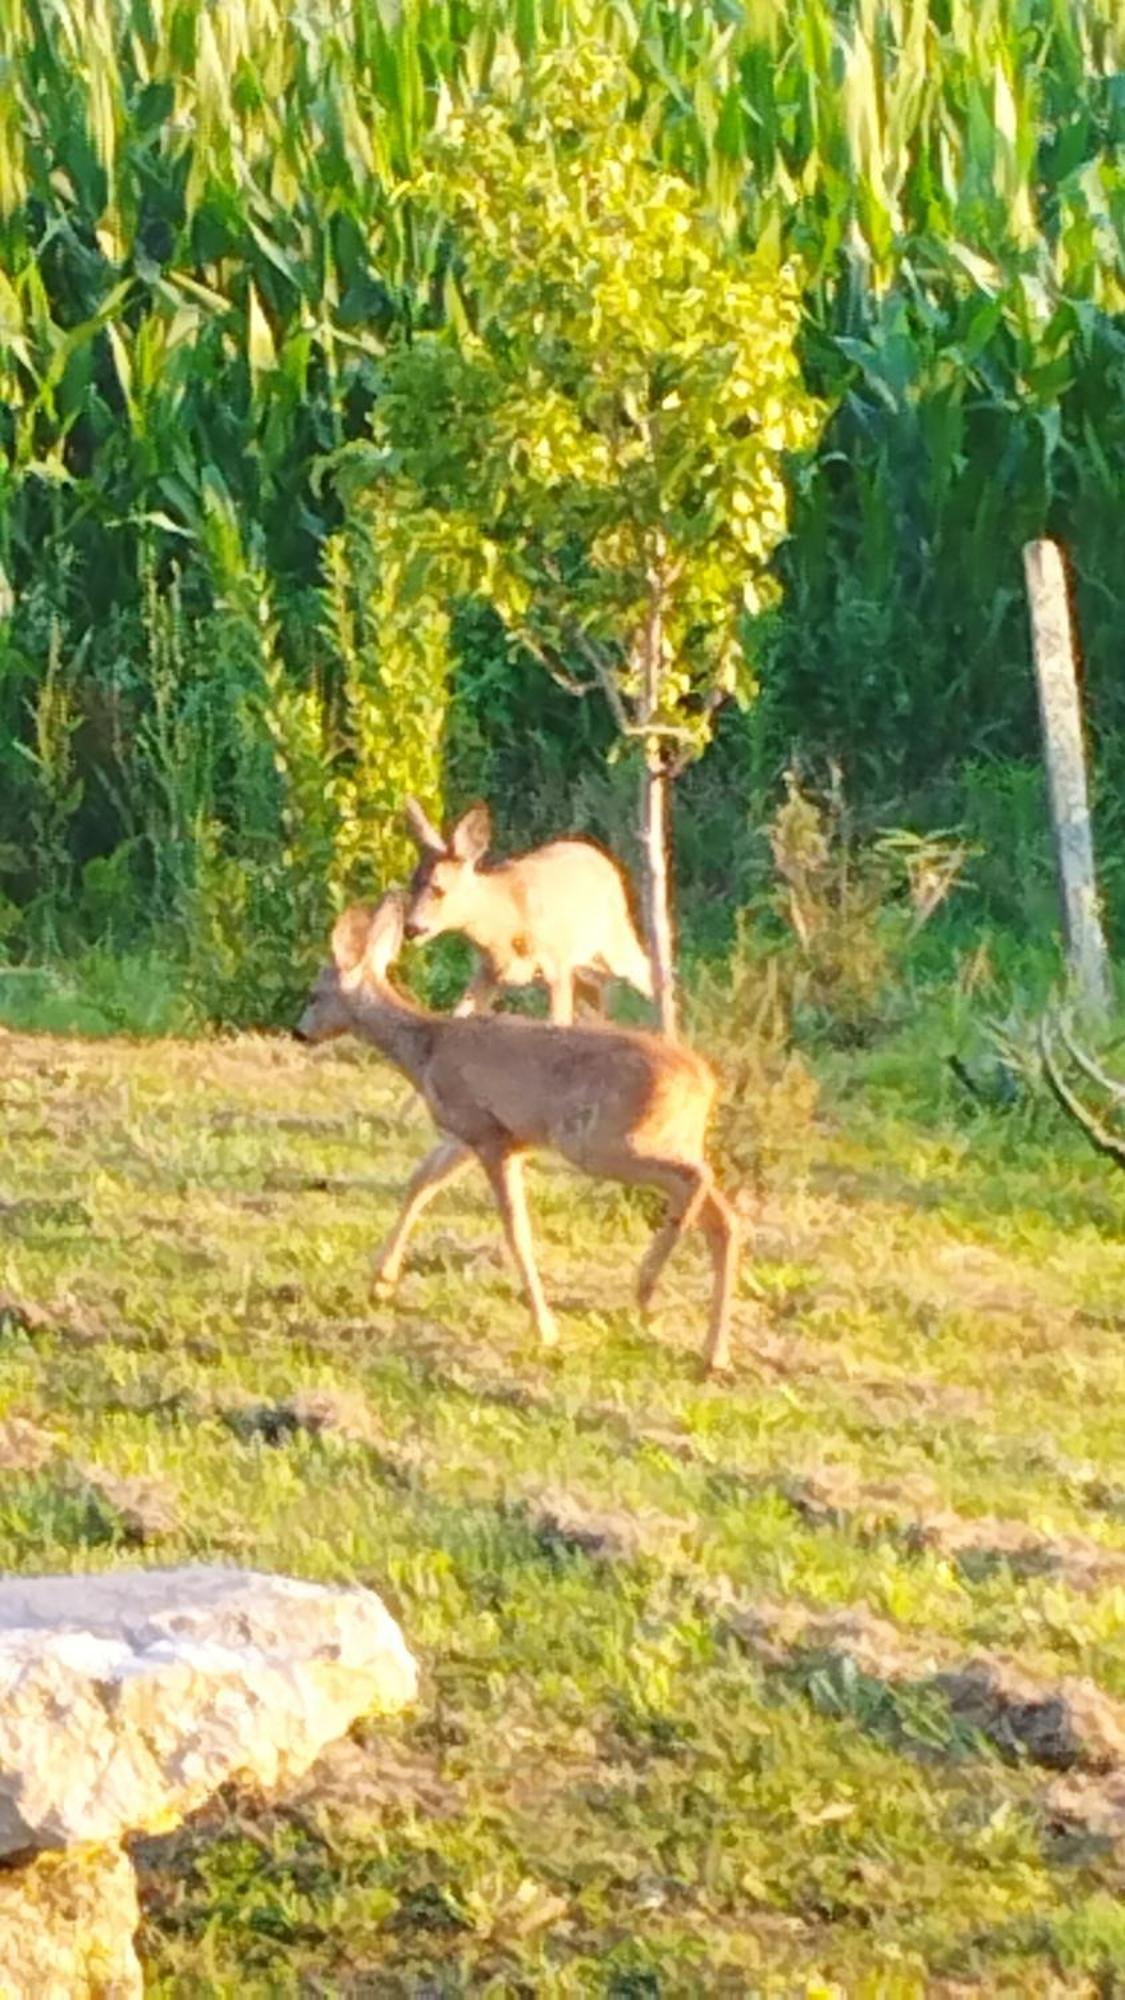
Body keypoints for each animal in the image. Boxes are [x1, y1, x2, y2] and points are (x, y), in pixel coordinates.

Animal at [294, 904, 740, 1384]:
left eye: (314, 995)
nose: (299, 1033)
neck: (427, 1049)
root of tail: (705, 1082)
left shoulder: (490, 1135)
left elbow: (516, 1231)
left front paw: (544, 1329)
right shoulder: (470, 1133)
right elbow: (420, 1183)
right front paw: (382, 1278)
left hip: (604, 1141)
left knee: (696, 1180)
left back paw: (647, 1284)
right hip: (662, 1139)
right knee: (725, 1219)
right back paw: (713, 1353)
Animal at [400, 796, 648, 1024]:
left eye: (439, 889)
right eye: (412, 884)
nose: (410, 928)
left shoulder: (556, 966)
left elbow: (557, 1023)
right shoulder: (488, 972)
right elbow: (458, 1013)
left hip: (614, 942)